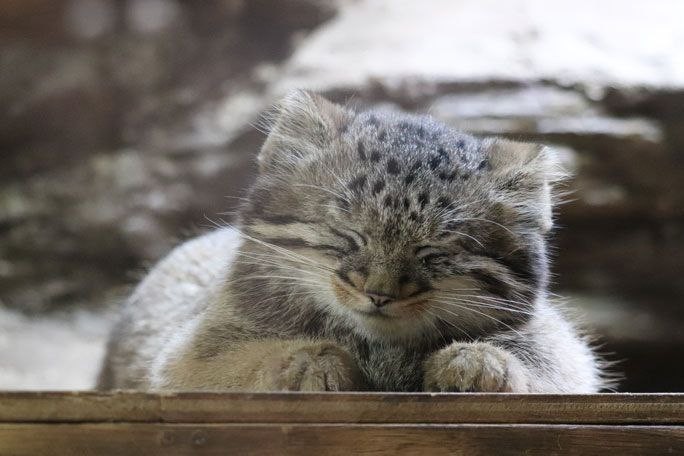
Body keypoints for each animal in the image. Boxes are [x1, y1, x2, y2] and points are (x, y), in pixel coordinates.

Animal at [96, 89, 604, 392]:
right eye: (349, 235)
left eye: (434, 253)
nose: (378, 294)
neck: (379, 349)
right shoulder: (185, 356)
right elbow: (248, 360)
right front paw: (307, 361)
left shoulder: (564, 352)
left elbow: (544, 365)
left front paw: (479, 361)